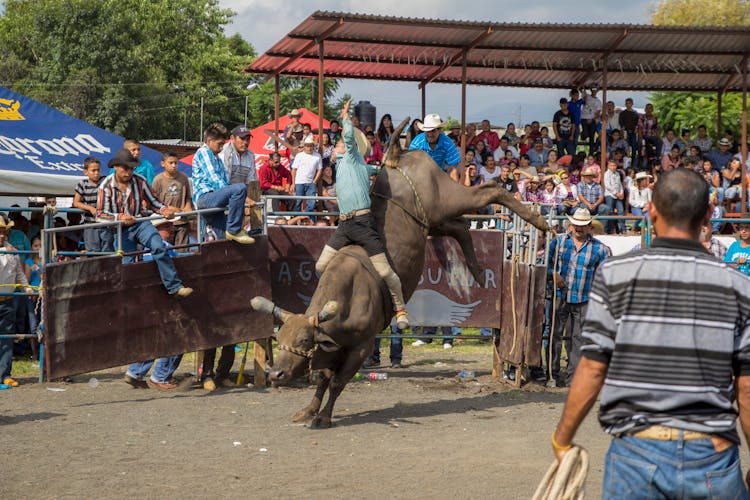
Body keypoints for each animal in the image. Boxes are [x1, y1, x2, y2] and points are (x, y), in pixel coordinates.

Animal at [253, 118, 548, 430]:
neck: (346, 300)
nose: (275, 374)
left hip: (448, 199)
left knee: (490, 190)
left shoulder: (360, 347)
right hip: (433, 221)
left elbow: (336, 382)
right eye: (279, 339)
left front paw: (323, 417)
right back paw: (479, 272)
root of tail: (398, 156)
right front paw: (308, 410)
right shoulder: (334, 349)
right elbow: (322, 378)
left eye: (304, 341)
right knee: (461, 228)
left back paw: (540, 222)